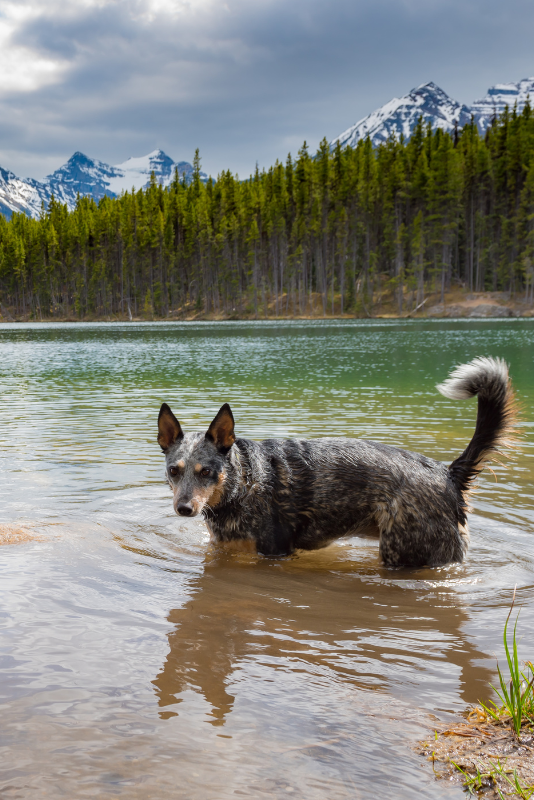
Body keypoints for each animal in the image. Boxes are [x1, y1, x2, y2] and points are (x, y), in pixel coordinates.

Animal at [159, 356, 520, 568]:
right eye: (173, 471)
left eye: (206, 471)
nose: (184, 509)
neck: (244, 482)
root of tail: (447, 472)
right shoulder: (222, 545)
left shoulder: (274, 553)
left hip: (405, 555)